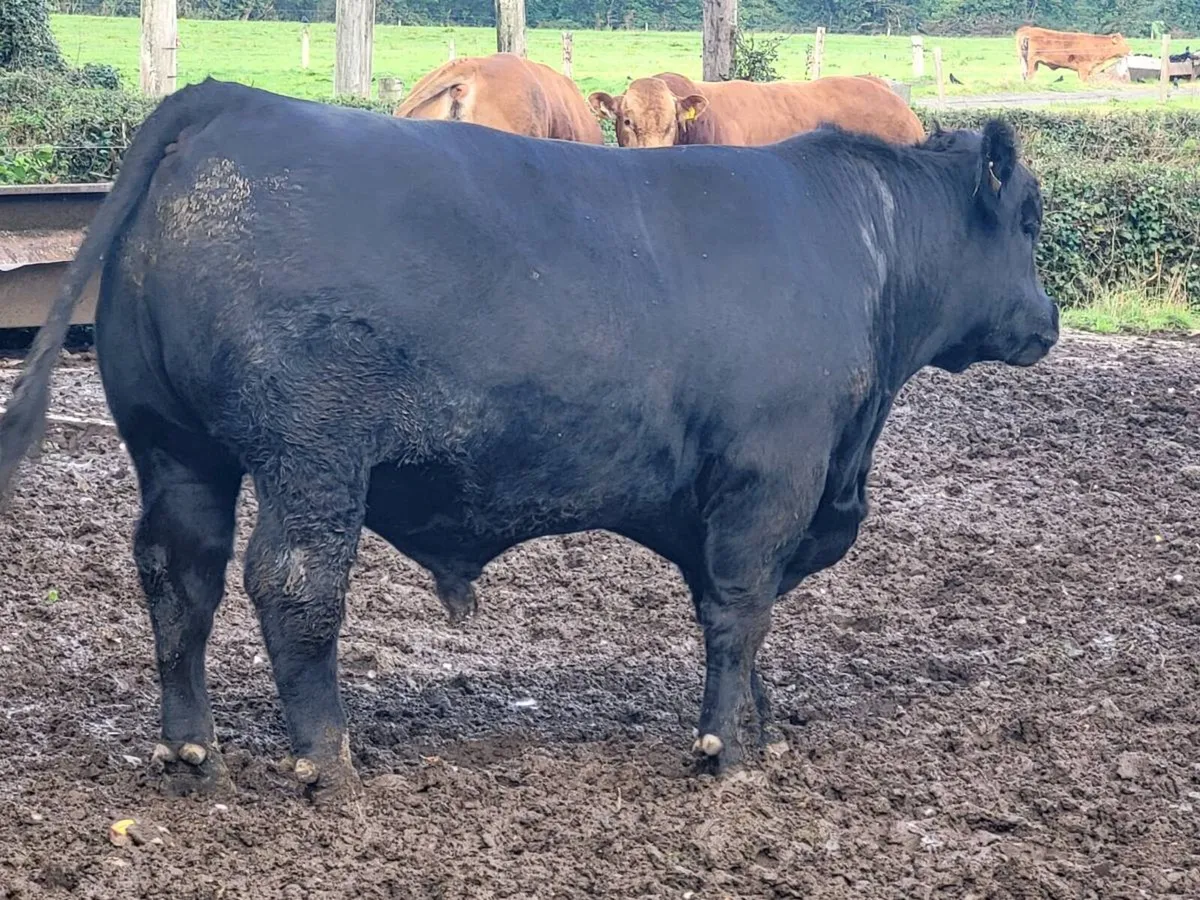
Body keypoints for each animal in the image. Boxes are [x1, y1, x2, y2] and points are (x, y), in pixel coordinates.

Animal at [0, 78, 1057, 803]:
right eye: (1031, 218)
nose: (1048, 321)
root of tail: (229, 103)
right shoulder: (769, 482)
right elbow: (741, 611)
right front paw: (725, 752)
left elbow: (744, 623)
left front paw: (764, 732)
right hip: (314, 452)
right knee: (293, 585)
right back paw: (329, 767)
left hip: (176, 447)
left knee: (179, 576)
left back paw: (195, 757)